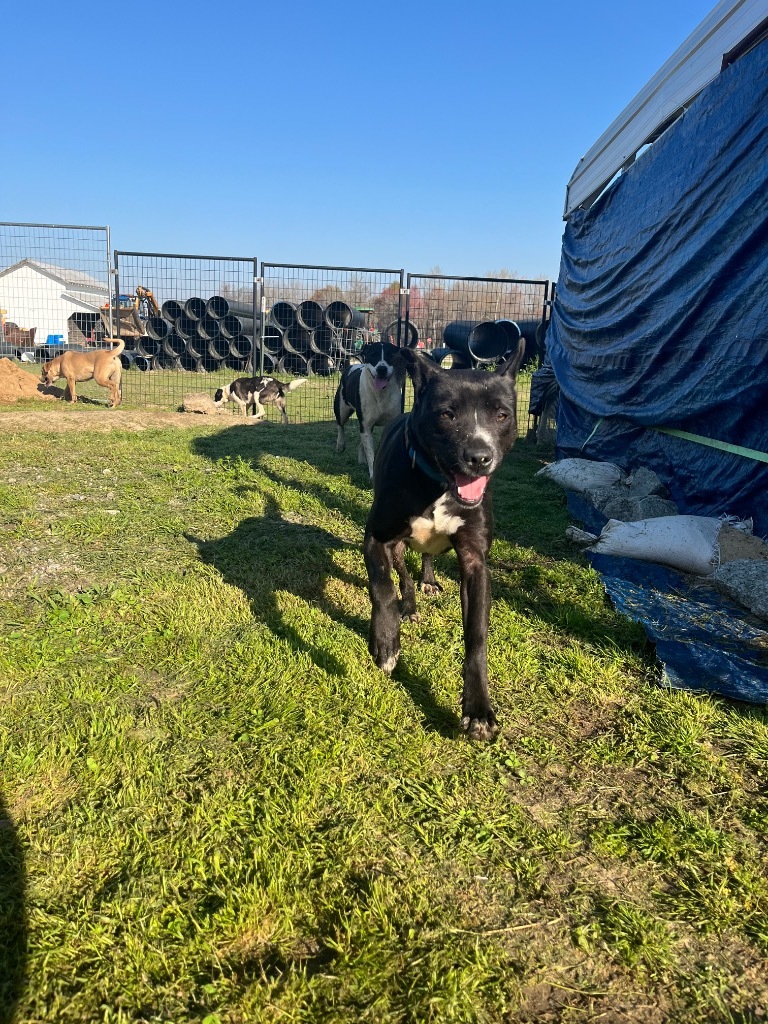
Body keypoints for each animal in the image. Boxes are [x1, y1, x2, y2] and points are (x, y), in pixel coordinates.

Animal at [331, 339, 405, 475]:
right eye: (373, 355)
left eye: (390, 355)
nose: (382, 369)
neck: (381, 393)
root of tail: (352, 366)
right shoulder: (365, 425)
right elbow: (371, 453)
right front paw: (373, 474)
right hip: (341, 408)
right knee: (340, 425)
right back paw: (340, 444)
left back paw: (361, 459)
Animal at [364, 339, 528, 741]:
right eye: (447, 414)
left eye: (502, 415)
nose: (479, 457)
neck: (438, 484)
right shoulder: (377, 538)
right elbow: (383, 589)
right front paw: (386, 643)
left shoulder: (475, 561)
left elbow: (477, 637)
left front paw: (479, 709)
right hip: (397, 546)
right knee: (402, 575)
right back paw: (409, 605)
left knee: (426, 558)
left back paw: (429, 580)